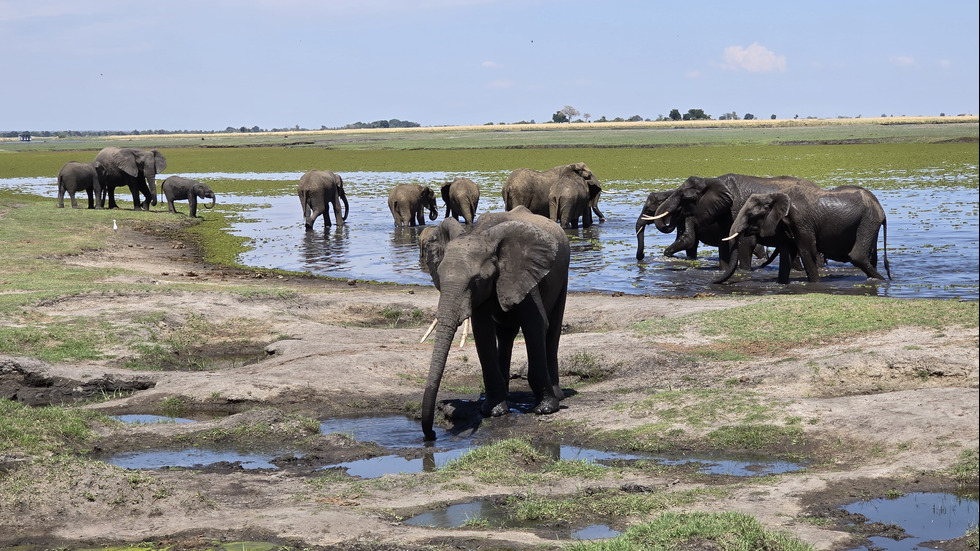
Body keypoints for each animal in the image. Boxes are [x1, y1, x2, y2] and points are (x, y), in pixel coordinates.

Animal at [418, 207, 572, 444]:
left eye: (476, 280)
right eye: (440, 279)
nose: (431, 435)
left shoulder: (523, 273)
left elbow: (536, 324)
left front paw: (545, 409)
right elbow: (483, 332)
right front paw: (494, 411)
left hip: (563, 274)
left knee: (553, 329)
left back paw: (557, 395)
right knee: (505, 334)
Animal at [716, 185, 892, 284]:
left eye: (750, 214)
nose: (714, 282)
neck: (775, 195)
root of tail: (881, 209)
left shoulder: (801, 220)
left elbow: (807, 251)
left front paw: (815, 284)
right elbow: (786, 256)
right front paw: (781, 284)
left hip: (867, 220)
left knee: (858, 256)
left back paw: (883, 281)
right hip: (870, 222)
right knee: (870, 256)